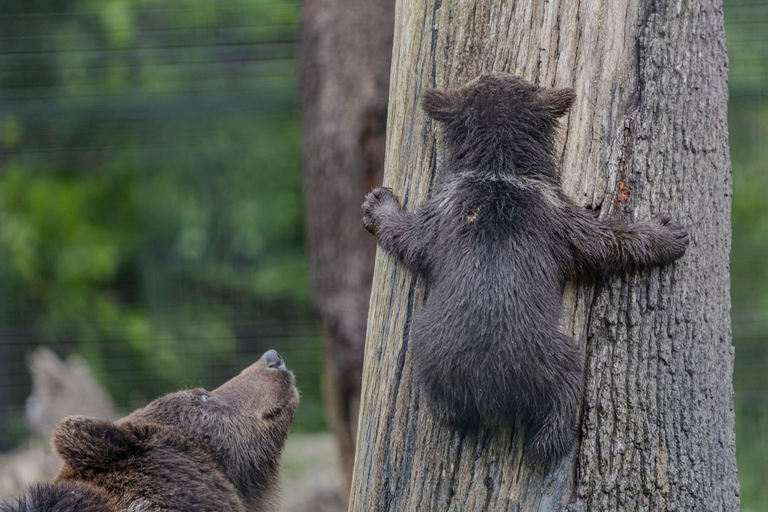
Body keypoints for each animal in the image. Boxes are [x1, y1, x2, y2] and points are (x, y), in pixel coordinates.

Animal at [361, 74, 689, 463]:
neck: (497, 170)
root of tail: (488, 386)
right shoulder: (561, 220)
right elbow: (610, 241)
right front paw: (667, 234)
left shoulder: (437, 220)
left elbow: (405, 235)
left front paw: (376, 206)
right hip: (555, 359)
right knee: (560, 402)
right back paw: (561, 441)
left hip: (429, 355)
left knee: (447, 410)